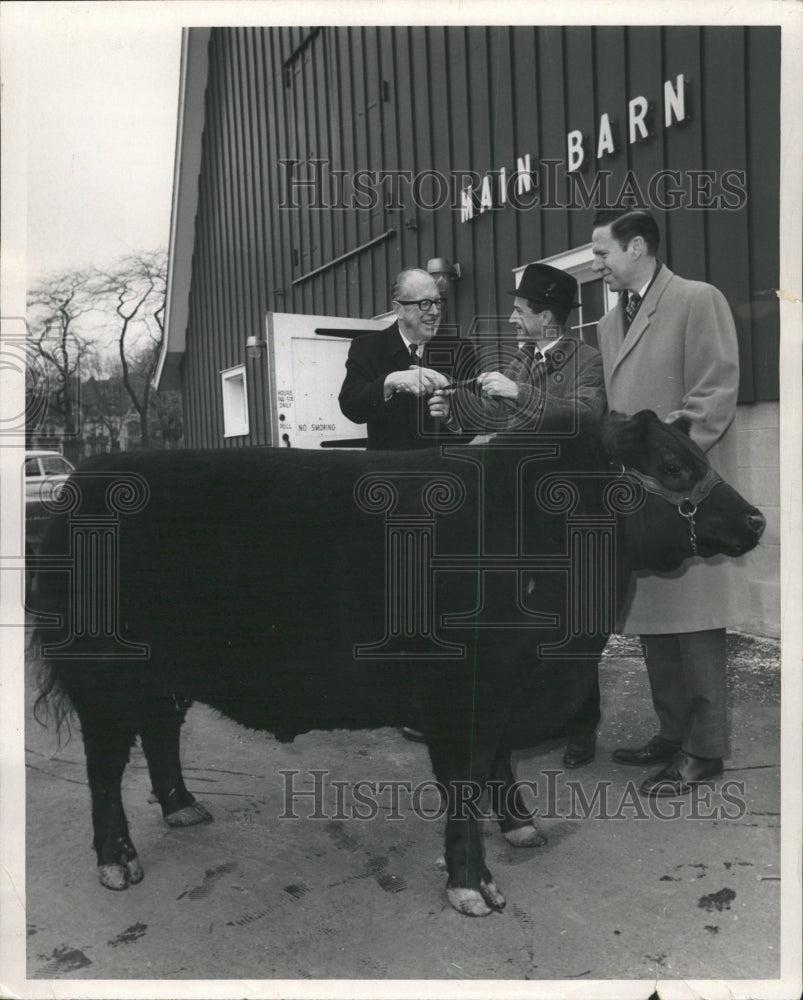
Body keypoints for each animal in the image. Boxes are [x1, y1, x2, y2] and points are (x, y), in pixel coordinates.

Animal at [34, 410, 764, 916]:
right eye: (672, 465)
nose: (756, 520)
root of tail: (83, 479)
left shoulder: (504, 687)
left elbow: (497, 765)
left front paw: (521, 826)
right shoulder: (466, 695)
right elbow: (465, 783)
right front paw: (473, 887)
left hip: (164, 675)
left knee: (159, 733)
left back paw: (184, 808)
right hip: (104, 675)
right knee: (105, 766)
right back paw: (117, 861)